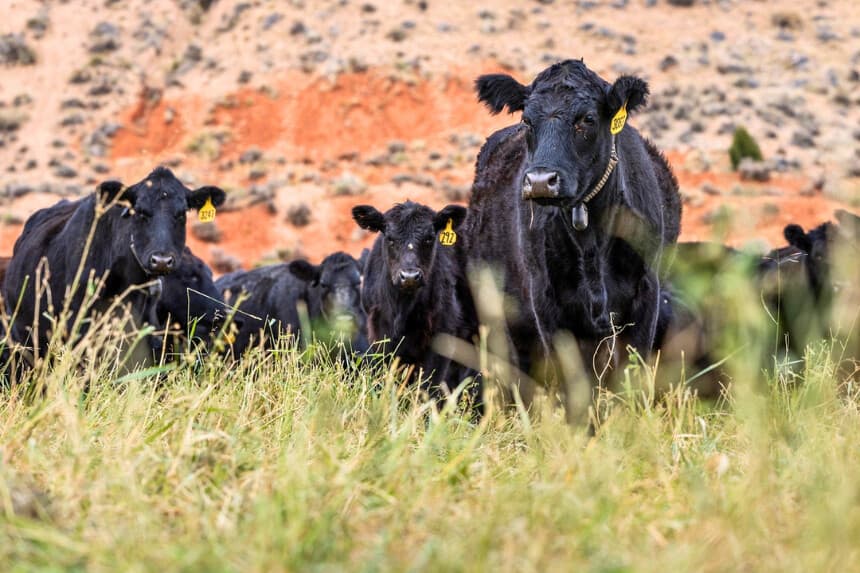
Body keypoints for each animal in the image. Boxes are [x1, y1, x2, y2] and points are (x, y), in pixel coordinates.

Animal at [351, 201, 480, 407]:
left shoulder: (443, 335)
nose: (410, 276)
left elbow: (429, 387)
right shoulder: (379, 334)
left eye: (429, 238)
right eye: (390, 238)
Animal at [464, 59, 682, 410]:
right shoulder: (547, 304)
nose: (541, 181)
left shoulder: (646, 295)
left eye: (587, 120)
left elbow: (630, 379)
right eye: (526, 120)